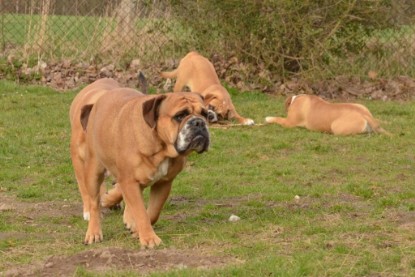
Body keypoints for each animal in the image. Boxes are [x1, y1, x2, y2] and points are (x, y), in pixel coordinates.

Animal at [70, 78, 211, 248]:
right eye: (180, 115)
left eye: (205, 114)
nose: (199, 122)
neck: (161, 149)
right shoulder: (129, 180)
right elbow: (141, 212)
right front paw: (149, 239)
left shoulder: (164, 183)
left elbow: (153, 211)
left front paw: (139, 232)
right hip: (93, 171)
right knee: (93, 203)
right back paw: (94, 232)